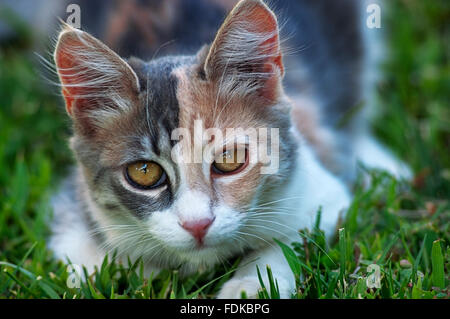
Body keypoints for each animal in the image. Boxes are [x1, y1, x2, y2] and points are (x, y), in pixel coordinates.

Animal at [49, 0, 412, 300]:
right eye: (144, 172)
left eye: (230, 160)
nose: (197, 224)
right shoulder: (74, 211)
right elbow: (94, 265)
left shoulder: (320, 193)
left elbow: (289, 239)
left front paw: (249, 285)